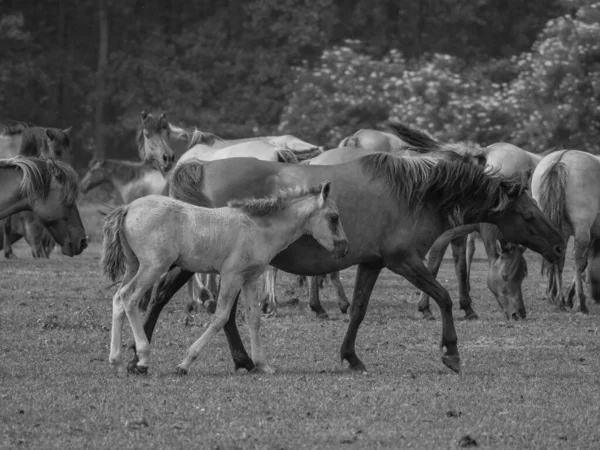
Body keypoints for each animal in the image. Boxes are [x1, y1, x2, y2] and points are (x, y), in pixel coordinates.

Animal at [101, 181, 350, 374]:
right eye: (334, 217)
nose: (345, 249)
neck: (259, 228)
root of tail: (128, 207)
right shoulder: (232, 276)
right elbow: (220, 317)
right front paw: (185, 363)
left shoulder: (250, 279)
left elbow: (254, 318)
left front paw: (263, 365)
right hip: (153, 267)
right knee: (129, 298)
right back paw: (142, 359)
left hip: (134, 266)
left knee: (118, 299)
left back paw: (117, 362)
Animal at [126, 153, 564, 374]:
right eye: (528, 214)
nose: (559, 246)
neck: (412, 194)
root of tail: (202, 166)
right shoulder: (404, 261)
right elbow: (441, 297)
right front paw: (451, 352)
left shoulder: (371, 263)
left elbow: (358, 310)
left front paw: (351, 356)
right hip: (194, 262)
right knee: (159, 297)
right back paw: (141, 355)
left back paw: (238, 360)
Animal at [532, 151, 600, 312]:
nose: (597, 298)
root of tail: (561, 160)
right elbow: (583, 264)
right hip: (581, 230)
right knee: (577, 260)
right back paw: (580, 303)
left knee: (559, 258)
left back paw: (560, 300)